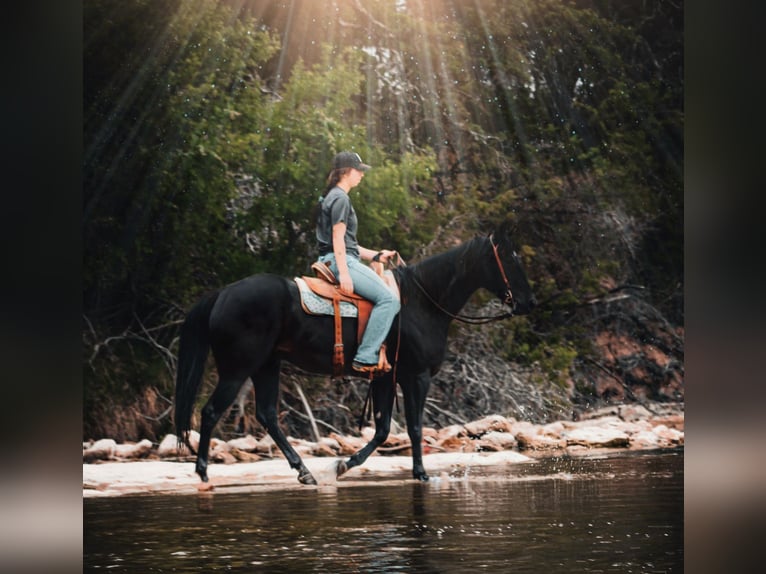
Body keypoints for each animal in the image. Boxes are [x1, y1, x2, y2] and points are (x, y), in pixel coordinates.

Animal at [175, 227, 536, 488]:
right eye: (510, 259)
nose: (529, 302)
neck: (422, 303)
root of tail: (222, 294)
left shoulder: (385, 378)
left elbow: (383, 430)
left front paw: (345, 465)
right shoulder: (416, 376)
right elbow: (415, 427)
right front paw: (420, 473)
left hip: (267, 366)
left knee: (267, 416)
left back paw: (304, 472)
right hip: (237, 370)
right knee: (210, 412)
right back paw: (203, 472)